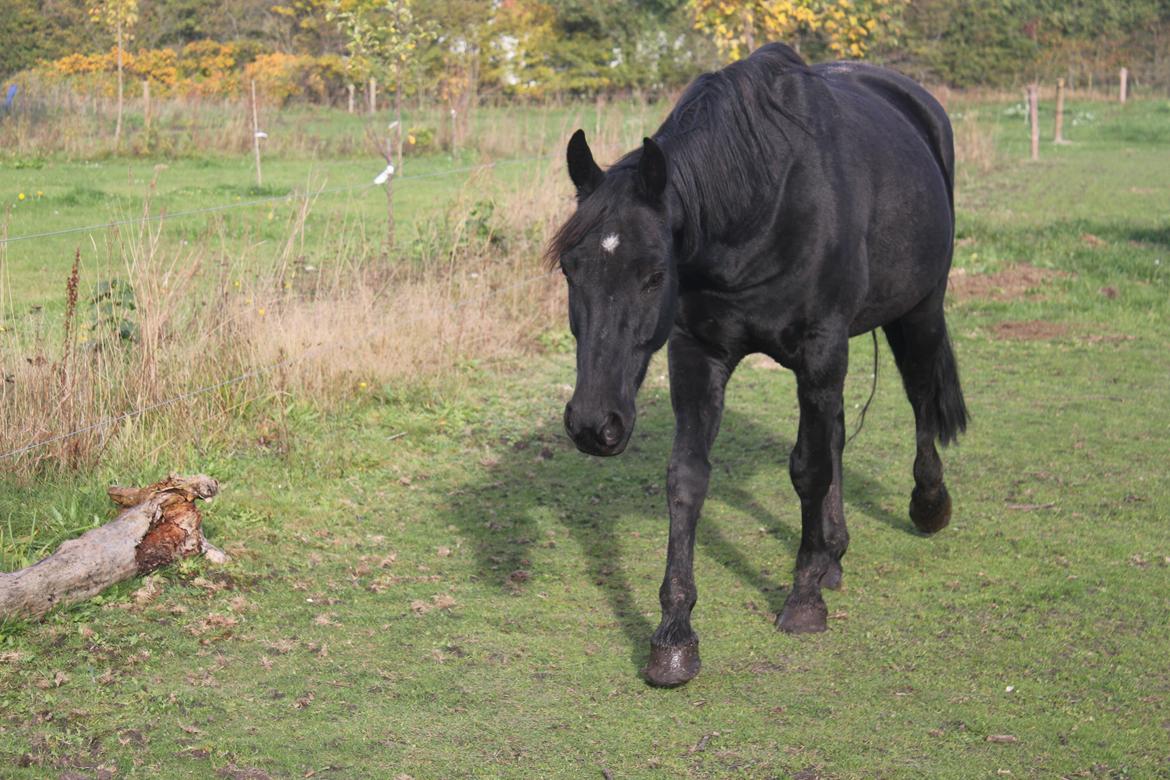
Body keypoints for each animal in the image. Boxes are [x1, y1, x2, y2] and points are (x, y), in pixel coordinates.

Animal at [547, 45, 968, 687]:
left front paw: (803, 598)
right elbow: (687, 479)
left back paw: (925, 505)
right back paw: (834, 553)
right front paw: (674, 636)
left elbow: (809, 469)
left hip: (917, 309)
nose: (595, 425)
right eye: (571, 269)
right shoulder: (698, 354)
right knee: (838, 431)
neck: (762, 208)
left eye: (654, 275)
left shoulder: (820, 347)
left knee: (920, 395)